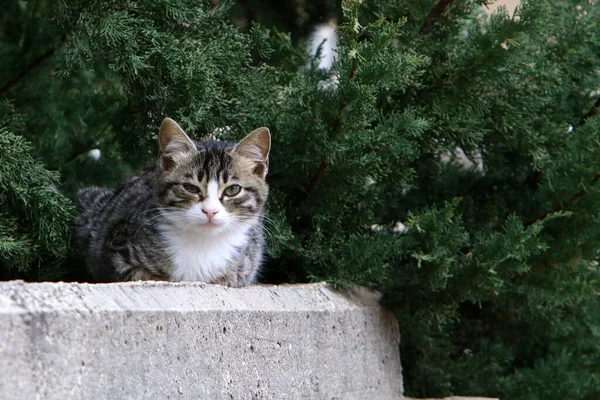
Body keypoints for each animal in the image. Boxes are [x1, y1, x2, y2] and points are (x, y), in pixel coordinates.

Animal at [74, 117, 270, 286]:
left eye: (233, 190)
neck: (202, 242)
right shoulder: (114, 251)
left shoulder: (246, 266)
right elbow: (139, 274)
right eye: (191, 188)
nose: (210, 211)